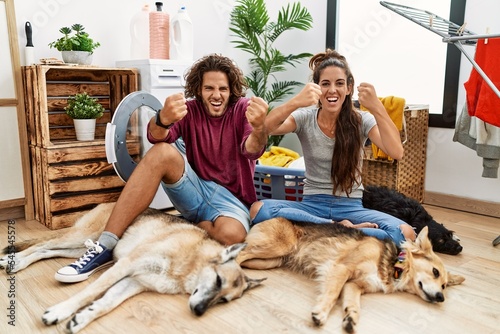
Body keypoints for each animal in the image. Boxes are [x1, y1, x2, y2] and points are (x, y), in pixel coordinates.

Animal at [0, 204, 266, 334]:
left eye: (223, 301)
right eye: (219, 281)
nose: (199, 311)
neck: (190, 262)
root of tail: (109, 202)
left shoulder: (134, 282)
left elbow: (105, 303)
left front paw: (82, 319)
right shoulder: (125, 266)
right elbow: (89, 293)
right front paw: (61, 311)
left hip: (77, 248)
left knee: (46, 251)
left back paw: (20, 262)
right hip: (82, 236)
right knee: (42, 245)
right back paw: (14, 261)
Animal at [238, 218, 464, 332]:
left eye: (444, 286)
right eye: (435, 272)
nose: (441, 297)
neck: (393, 263)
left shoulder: (354, 285)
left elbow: (353, 303)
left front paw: (350, 318)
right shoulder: (341, 268)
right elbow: (331, 294)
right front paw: (320, 313)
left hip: (271, 261)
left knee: (242, 259)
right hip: (277, 247)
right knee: (238, 253)